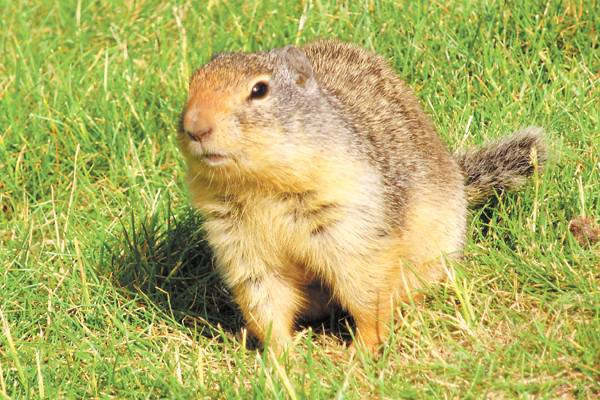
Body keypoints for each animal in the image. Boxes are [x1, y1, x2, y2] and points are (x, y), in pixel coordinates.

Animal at [176, 39, 548, 352]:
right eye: (192, 83)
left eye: (259, 90)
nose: (196, 127)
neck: (259, 187)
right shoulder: (237, 241)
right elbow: (264, 296)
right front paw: (284, 357)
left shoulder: (351, 218)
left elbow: (366, 288)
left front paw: (360, 352)